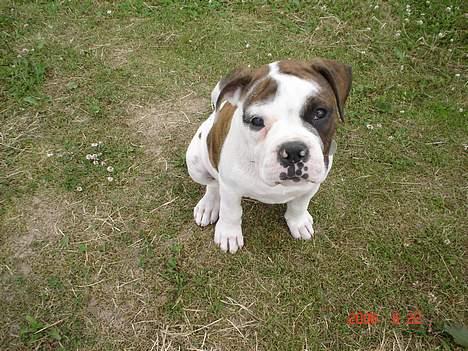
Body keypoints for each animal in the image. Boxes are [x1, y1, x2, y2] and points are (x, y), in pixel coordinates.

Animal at [186, 59, 352, 253]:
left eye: (319, 113)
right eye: (256, 121)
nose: (293, 151)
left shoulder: (312, 184)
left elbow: (299, 204)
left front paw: (298, 222)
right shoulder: (231, 189)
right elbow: (231, 212)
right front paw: (229, 234)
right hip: (195, 163)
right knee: (213, 184)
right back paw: (209, 205)